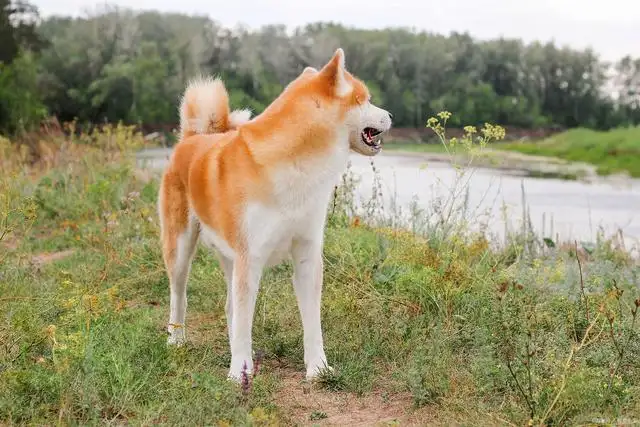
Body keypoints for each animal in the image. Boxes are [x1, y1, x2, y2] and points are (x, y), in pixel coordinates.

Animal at [158, 47, 392, 382]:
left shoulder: (307, 256)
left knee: (229, 307)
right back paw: (176, 339)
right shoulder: (251, 258)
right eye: (364, 99)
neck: (296, 163)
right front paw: (238, 373)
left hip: (230, 258)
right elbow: (245, 321)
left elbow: (312, 324)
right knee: (179, 297)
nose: (391, 116)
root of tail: (192, 137)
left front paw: (318, 368)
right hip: (180, 250)